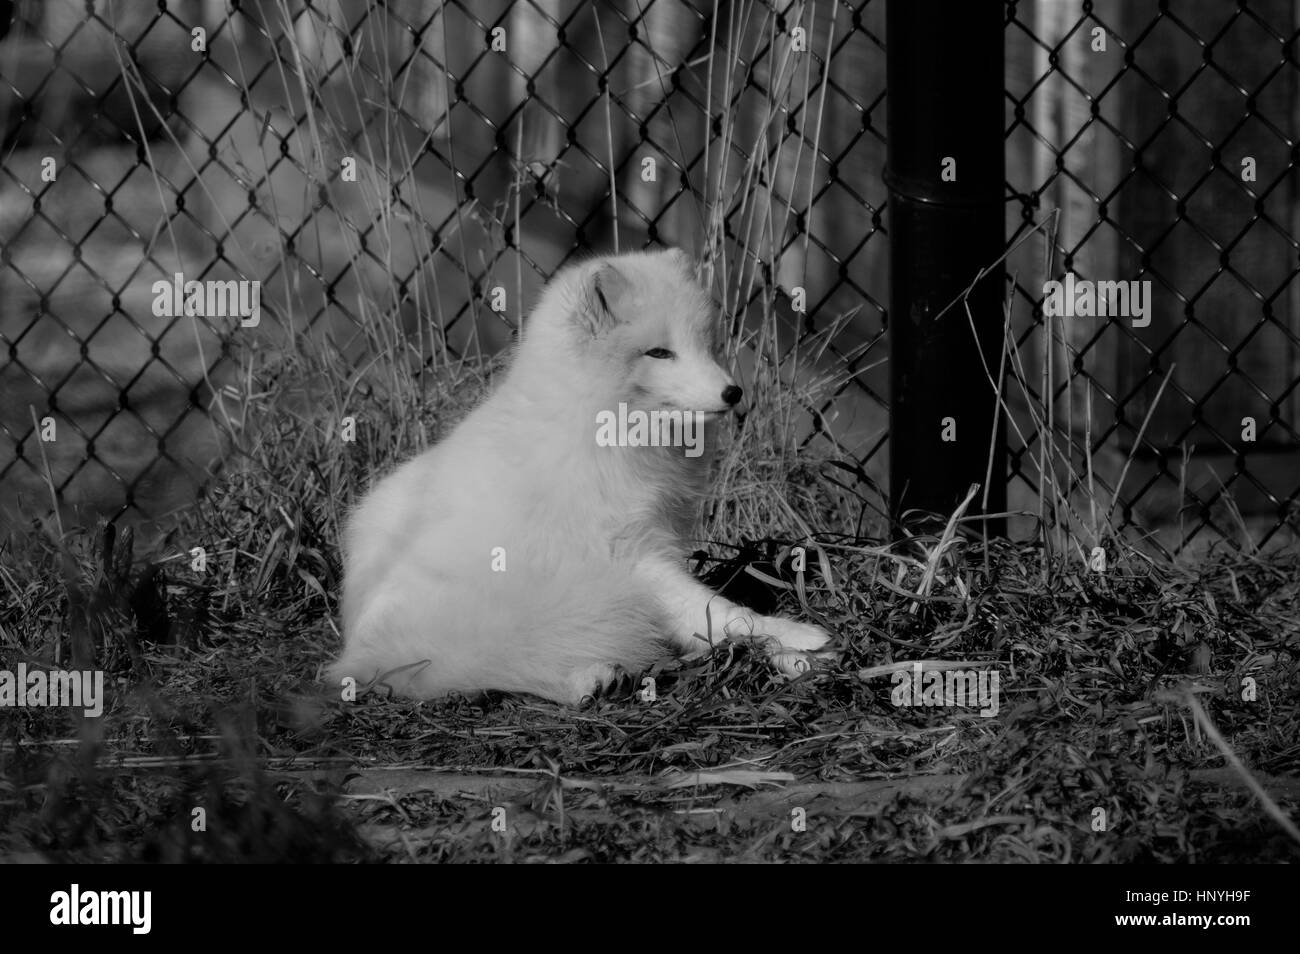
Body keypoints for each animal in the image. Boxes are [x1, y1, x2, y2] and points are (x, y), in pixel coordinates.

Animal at [327, 250, 832, 707]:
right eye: (659, 352)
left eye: (707, 346)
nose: (733, 392)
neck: (602, 422)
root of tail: (354, 646)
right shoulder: (630, 554)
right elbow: (718, 612)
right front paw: (795, 638)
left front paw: (789, 656)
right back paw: (591, 679)